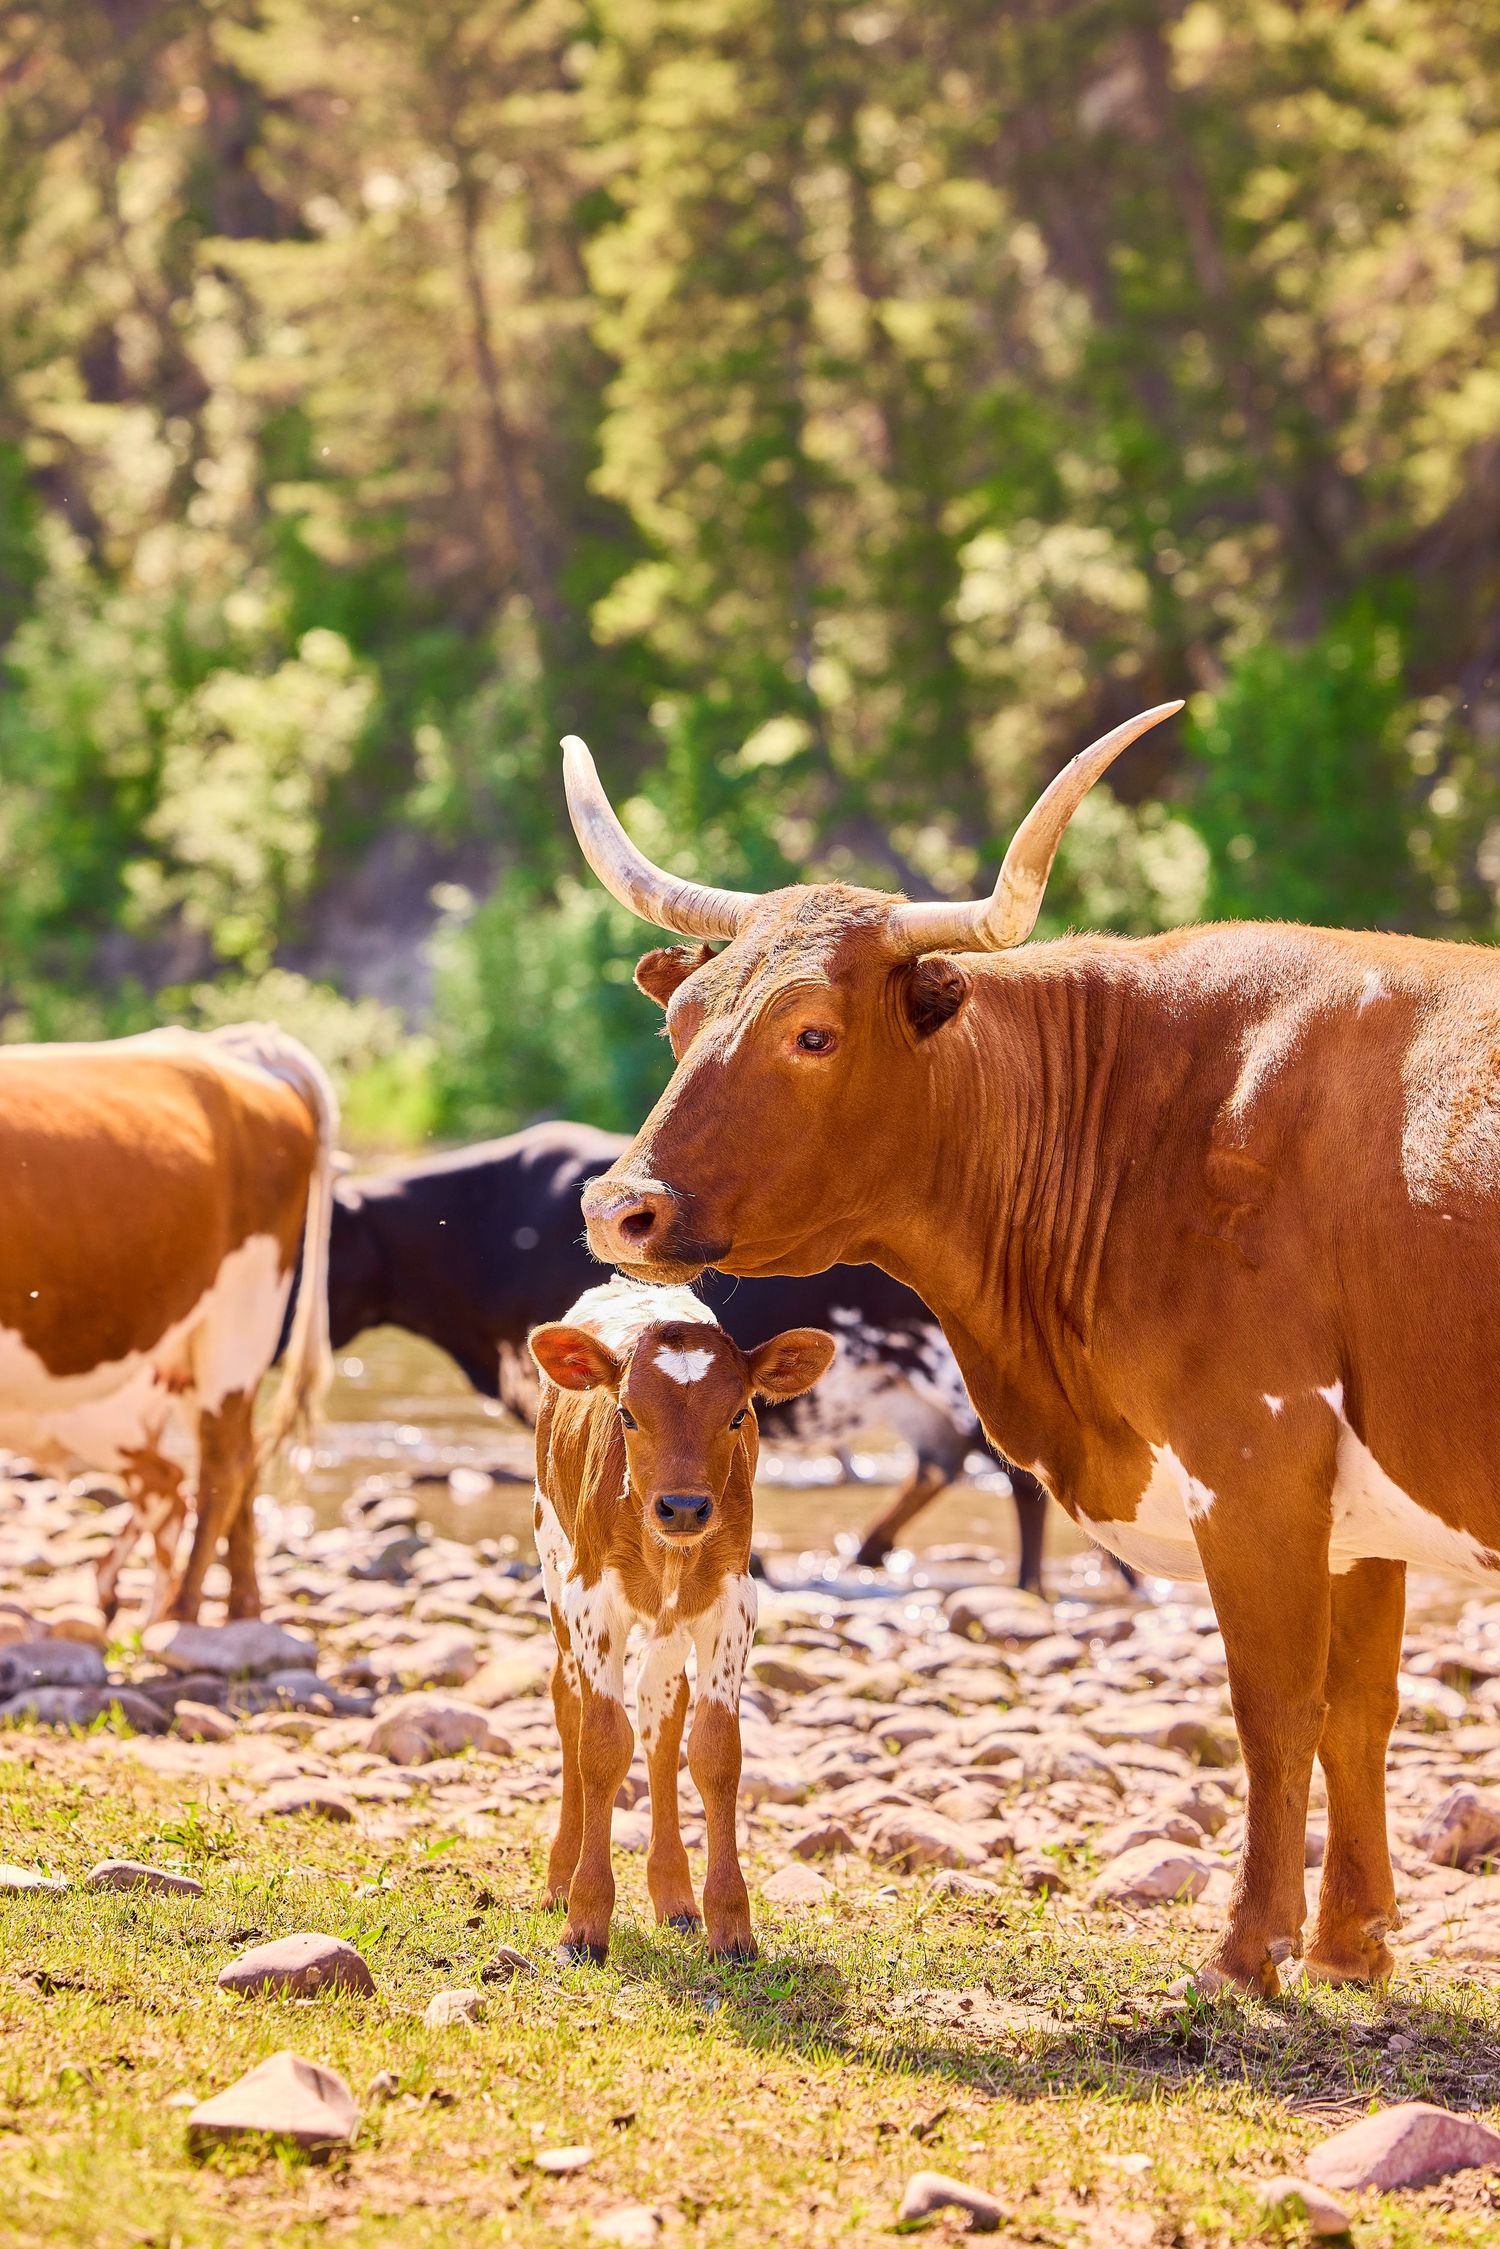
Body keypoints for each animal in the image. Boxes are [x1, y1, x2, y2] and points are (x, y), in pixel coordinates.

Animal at [0, 1024, 335, 1623]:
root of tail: (235, 1047)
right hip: (180, 1351)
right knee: (237, 1461)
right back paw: (238, 1614)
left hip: (241, 1315)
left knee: (222, 1466)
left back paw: (180, 1612)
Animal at [324, 1127, 1069, 1584]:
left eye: (324, 1241)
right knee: (939, 1465)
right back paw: (869, 1551)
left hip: (953, 1378)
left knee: (1018, 1478)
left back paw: (1027, 1584)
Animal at [528, 1277, 835, 1961]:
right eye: (626, 1414)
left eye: (739, 1414)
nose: (685, 1507)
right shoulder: (592, 1600)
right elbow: (601, 1745)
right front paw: (585, 1921)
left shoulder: (733, 1605)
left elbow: (716, 1752)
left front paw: (731, 1926)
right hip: (552, 1564)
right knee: (569, 1703)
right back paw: (560, 1878)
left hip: (671, 1626)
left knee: (660, 1714)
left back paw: (674, 1895)